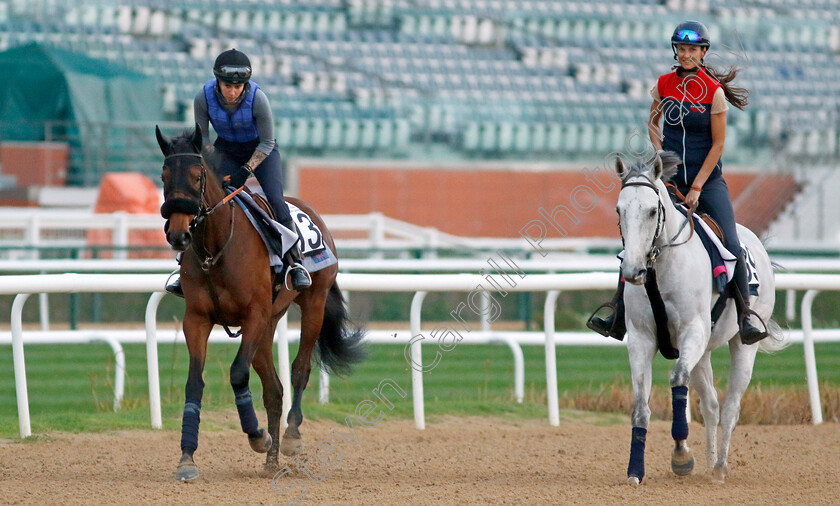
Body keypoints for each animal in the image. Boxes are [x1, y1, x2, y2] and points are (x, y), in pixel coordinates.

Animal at [156, 126, 366, 482]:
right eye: (164, 175)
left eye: (197, 176)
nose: (179, 234)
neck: (218, 247)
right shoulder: (197, 318)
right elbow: (194, 382)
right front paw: (186, 459)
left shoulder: (254, 315)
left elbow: (238, 373)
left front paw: (257, 435)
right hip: (269, 323)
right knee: (274, 389)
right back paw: (272, 461)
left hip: (313, 303)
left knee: (300, 369)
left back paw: (291, 437)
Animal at [612, 152, 788, 484]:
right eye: (619, 210)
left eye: (652, 211)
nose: (632, 270)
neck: (662, 267)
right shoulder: (640, 338)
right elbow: (641, 406)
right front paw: (635, 470)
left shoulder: (692, 331)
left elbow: (677, 379)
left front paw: (681, 456)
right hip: (703, 352)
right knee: (711, 405)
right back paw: (710, 461)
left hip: (742, 345)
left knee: (730, 407)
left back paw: (719, 468)